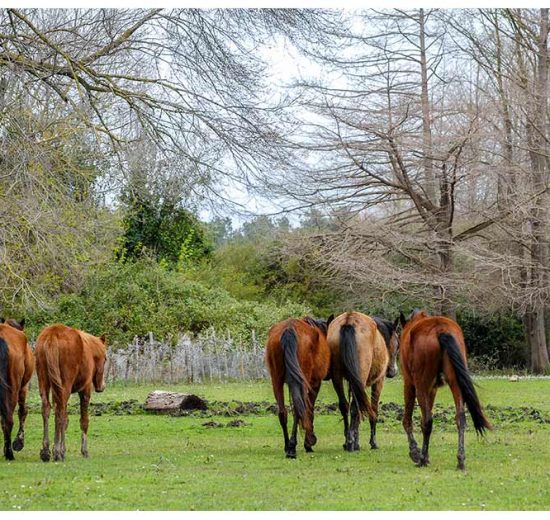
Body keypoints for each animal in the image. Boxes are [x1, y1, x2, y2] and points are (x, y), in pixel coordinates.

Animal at [35, 322, 108, 462]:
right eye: (106, 359)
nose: (102, 386)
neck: (91, 352)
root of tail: (52, 335)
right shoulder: (85, 390)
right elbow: (83, 421)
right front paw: (84, 451)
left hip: (44, 382)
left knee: (47, 409)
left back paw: (46, 451)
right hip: (65, 386)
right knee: (61, 414)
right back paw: (59, 452)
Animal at [266, 314, 334, 458]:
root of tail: (289, 329)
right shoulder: (314, 384)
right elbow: (309, 410)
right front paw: (309, 442)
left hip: (276, 381)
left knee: (283, 412)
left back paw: (287, 445)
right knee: (299, 409)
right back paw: (293, 447)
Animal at [328, 312, 402, 450]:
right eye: (398, 344)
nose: (393, 371)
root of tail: (349, 320)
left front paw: (356, 441)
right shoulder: (378, 382)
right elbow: (373, 408)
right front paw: (373, 442)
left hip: (337, 377)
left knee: (345, 406)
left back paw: (348, 440)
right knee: (355, 408)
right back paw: (350, 442)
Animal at [398, 308, 494, 472]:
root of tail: (440, 329)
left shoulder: (410, 384)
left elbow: (408, 420)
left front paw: (415, 452)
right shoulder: (432, 389)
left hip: (421, 385)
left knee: (427, 420)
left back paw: (421, 460)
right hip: (455, 382)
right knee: (460, 418)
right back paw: (460, 459)